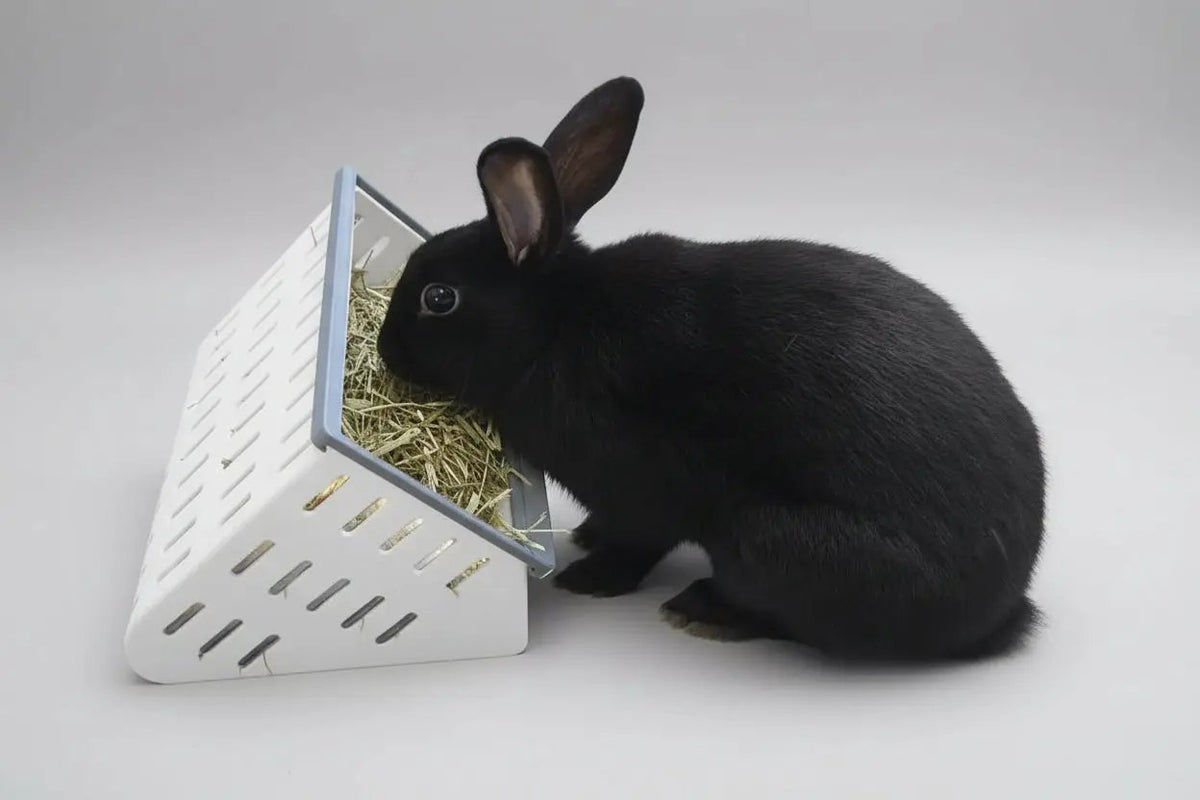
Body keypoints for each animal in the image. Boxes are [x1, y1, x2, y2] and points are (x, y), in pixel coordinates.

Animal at [377, 76, 1045, 661]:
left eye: (439, 298)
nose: (385, 350)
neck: (556, 325)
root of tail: (1005, 610)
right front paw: (586, 537)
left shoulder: (641, 482)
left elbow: (639, 539)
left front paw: (587, 577)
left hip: (769, 540)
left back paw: (701, 610)